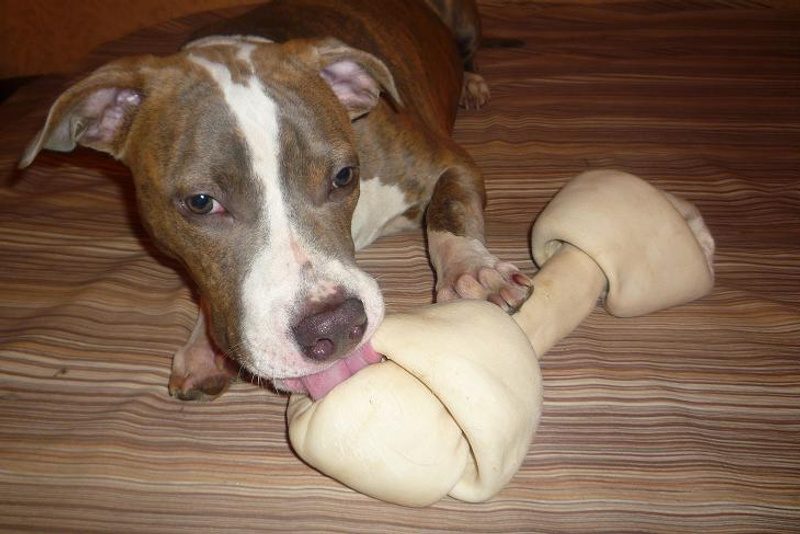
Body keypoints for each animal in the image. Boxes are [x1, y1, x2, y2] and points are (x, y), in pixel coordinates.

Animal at [19, 0, 531, 401]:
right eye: (201, 203)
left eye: (344, 176)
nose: (334, 326)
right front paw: (204, 348)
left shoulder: (449, 163)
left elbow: (449, 213)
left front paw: (472, 272)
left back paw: (472, 83)